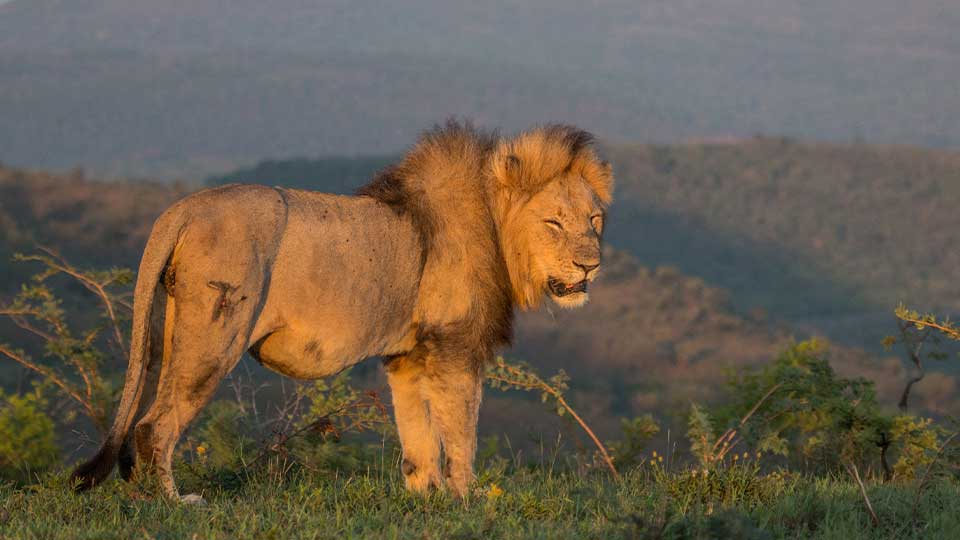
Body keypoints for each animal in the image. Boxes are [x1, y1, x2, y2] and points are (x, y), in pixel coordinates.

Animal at [70, 121, 613, 501]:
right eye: (553, 223)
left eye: (594, 220)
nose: (591, 265)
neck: (497, 230)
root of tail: (182, 208)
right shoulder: (454, 346)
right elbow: (461, 433)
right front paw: (469, 499)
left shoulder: (410, 354)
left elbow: (418, 434)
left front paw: (426, 498)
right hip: (214, 334)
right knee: (154, 425)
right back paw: (174, 502)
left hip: (163, 332)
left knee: (139, 413)